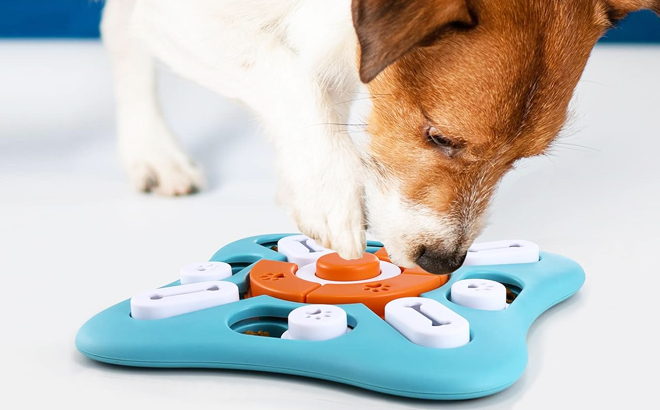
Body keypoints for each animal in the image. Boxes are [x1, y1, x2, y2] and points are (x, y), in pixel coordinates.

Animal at [100, 0, 656, 276]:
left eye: (520, 159)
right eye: (439, 136)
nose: (443, 263)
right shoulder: (179, 17)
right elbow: (288, 73)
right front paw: (328, 191)